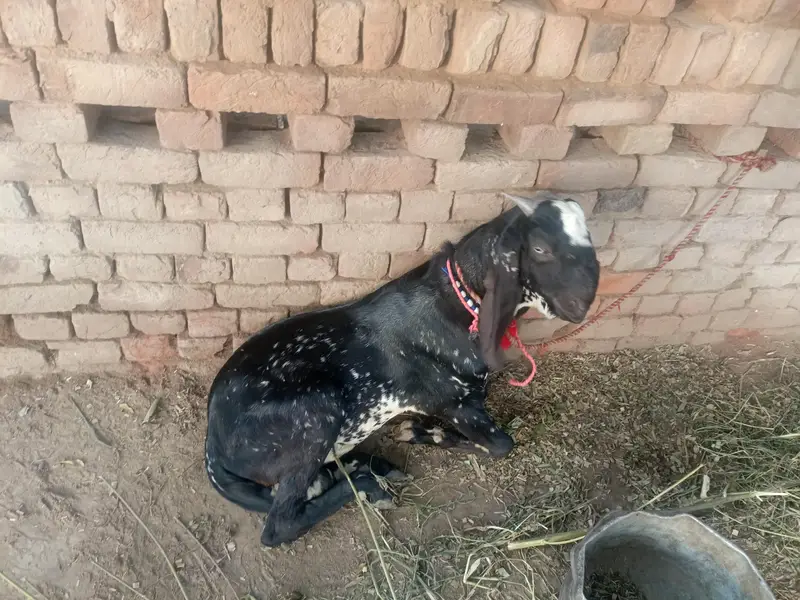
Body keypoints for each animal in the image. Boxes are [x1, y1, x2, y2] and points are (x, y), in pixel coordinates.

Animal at [204, 192, 600, 546]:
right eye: (540, 248)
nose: (584, 302)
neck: (457, 305)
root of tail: (213, 445)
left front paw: (417, 433)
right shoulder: (455, 403)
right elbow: (502, 444)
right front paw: (422, 433)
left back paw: (372, 467)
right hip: (315, 410)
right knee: (281, 524)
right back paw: (369, 485)